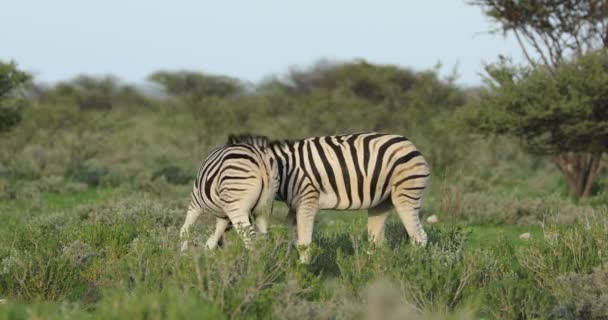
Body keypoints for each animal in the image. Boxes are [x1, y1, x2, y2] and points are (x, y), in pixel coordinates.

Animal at [226, 131, 430, 264]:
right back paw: (373, 270)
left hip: (406, 192)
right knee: (378, 241)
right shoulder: (294, 207)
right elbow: (295, 238)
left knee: (419, 237)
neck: (285, 170)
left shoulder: (307, 201)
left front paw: (304, 270)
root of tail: (409, 143)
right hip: (381, 202)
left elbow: (304, 241)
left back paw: (414, 268)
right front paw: (290, 264)